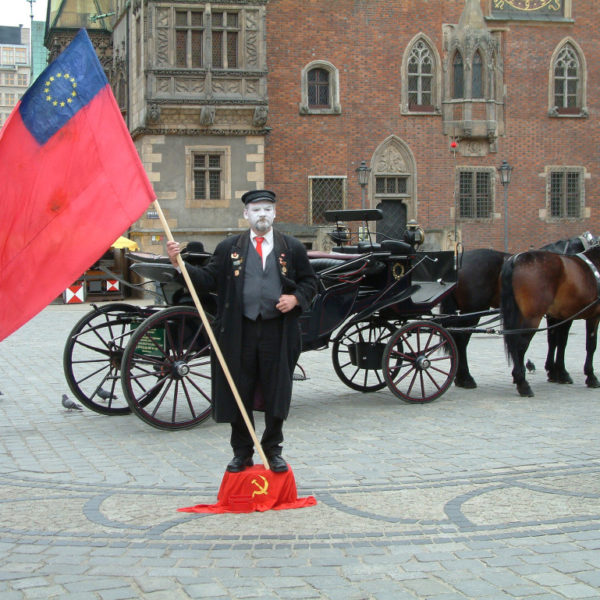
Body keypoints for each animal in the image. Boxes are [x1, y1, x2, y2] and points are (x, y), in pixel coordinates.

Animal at [500, 246, 600, 396]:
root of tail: (516, 260)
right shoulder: (593, 316)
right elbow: (591, 345)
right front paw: (591, 376)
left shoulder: (560, 316)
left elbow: (558, 342)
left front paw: (558, 373)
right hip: (532, 318)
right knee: (521, 345)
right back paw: (522, 383)